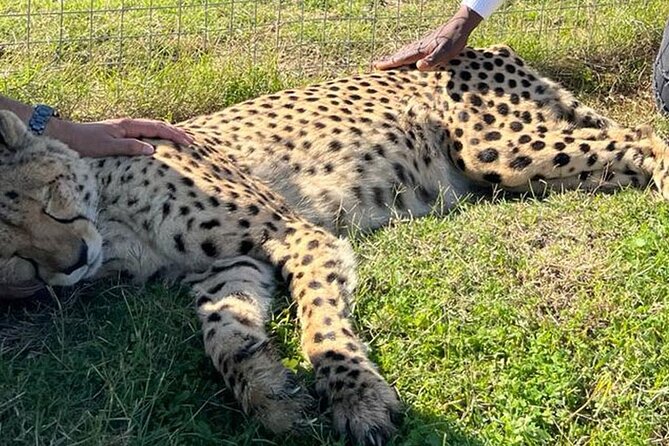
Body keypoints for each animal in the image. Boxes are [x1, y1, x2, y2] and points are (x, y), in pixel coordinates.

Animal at [1, 45, 668, 446]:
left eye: (47, 197)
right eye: (15, 259)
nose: (72, 263)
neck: (112, 222)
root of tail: (481, 48)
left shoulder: (296, 232)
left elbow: (320, 322)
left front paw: (357, 398)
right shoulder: (226, 268)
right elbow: (225, 336)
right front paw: (270, 394)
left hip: (497, 150)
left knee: (645, 140)